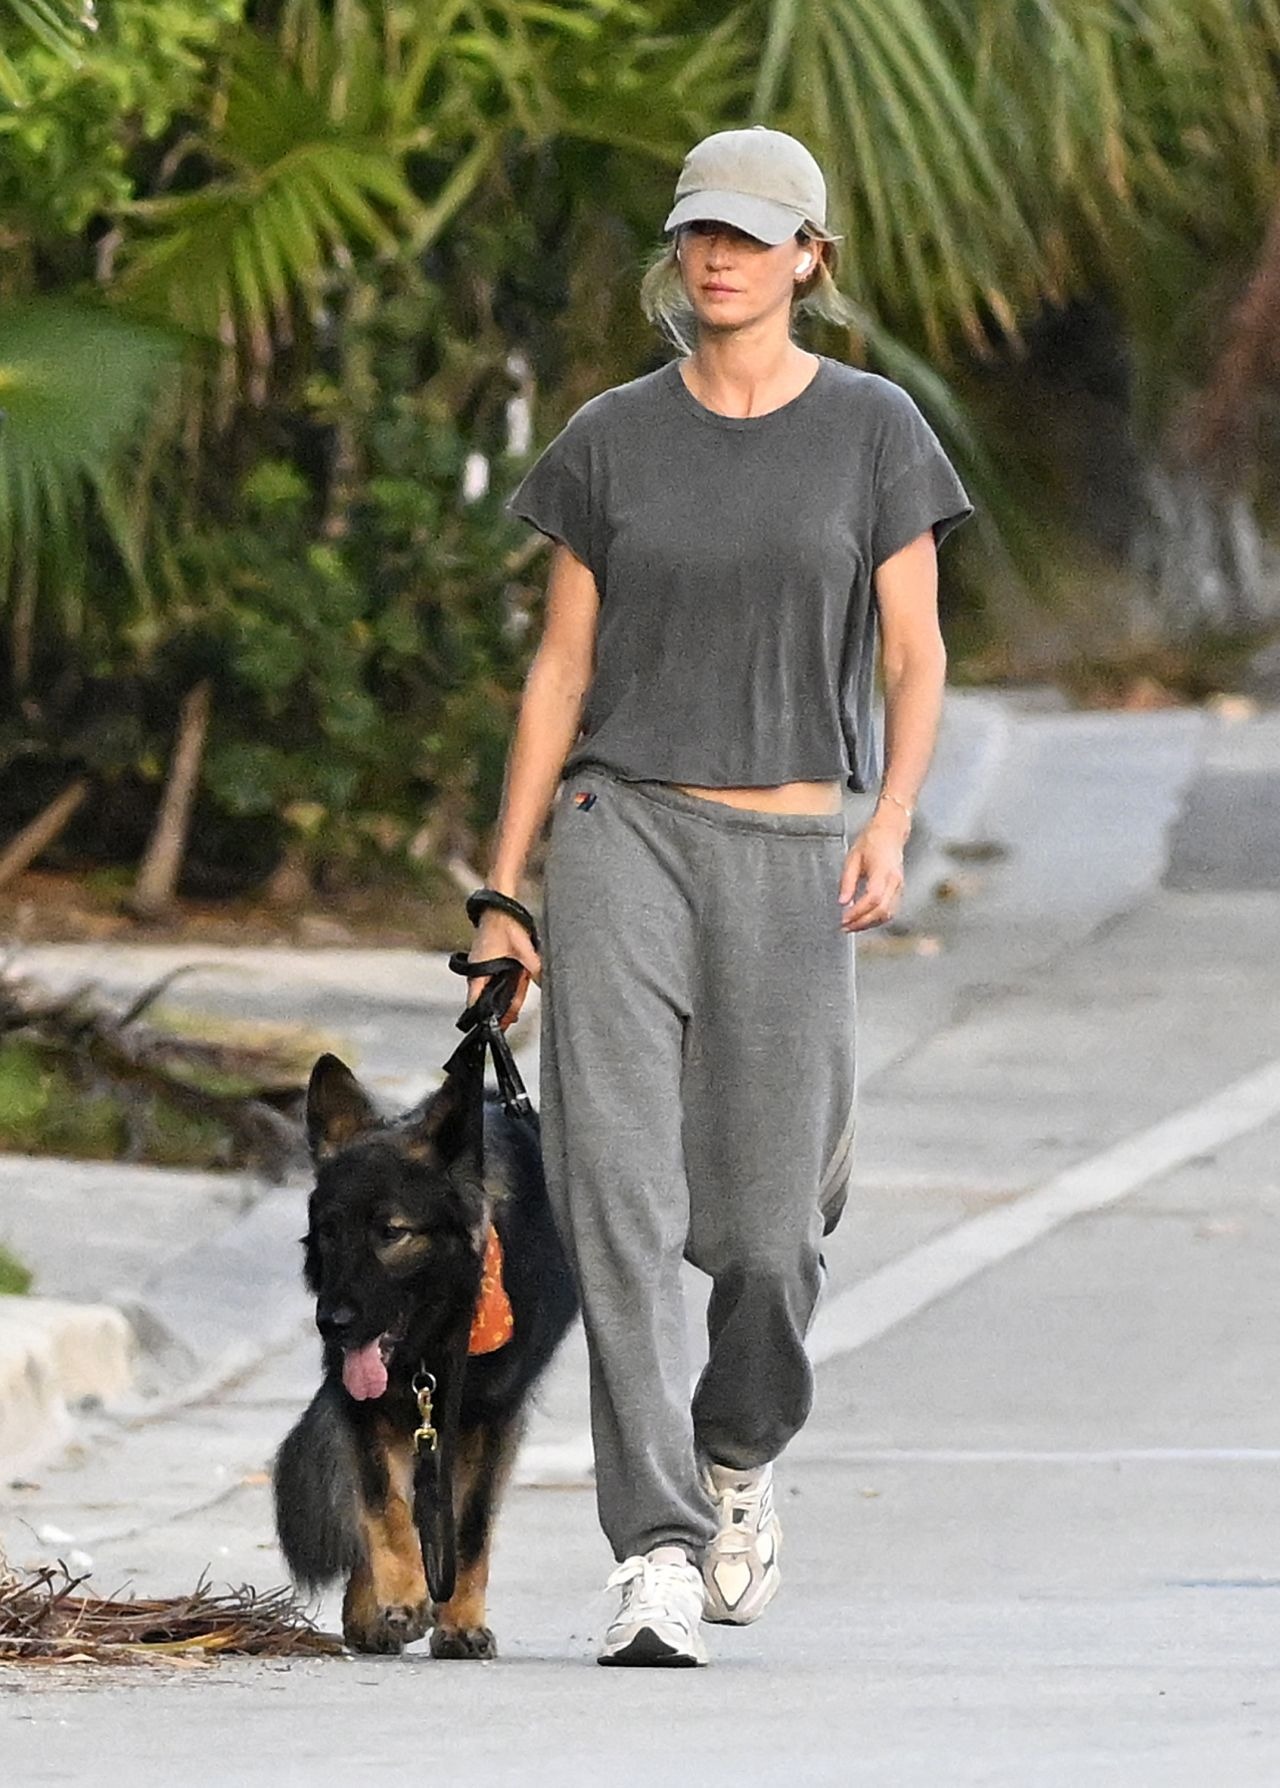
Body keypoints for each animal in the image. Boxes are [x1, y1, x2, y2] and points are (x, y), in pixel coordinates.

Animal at [271, 1044, 579, 1652]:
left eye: (391, 1233)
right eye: (329, 1232)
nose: (331, 1324)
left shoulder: (490, 1420)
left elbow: (469, 1529)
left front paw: (460, 1621)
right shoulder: (367, 1408)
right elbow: (383, 1504)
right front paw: (400, 1596)